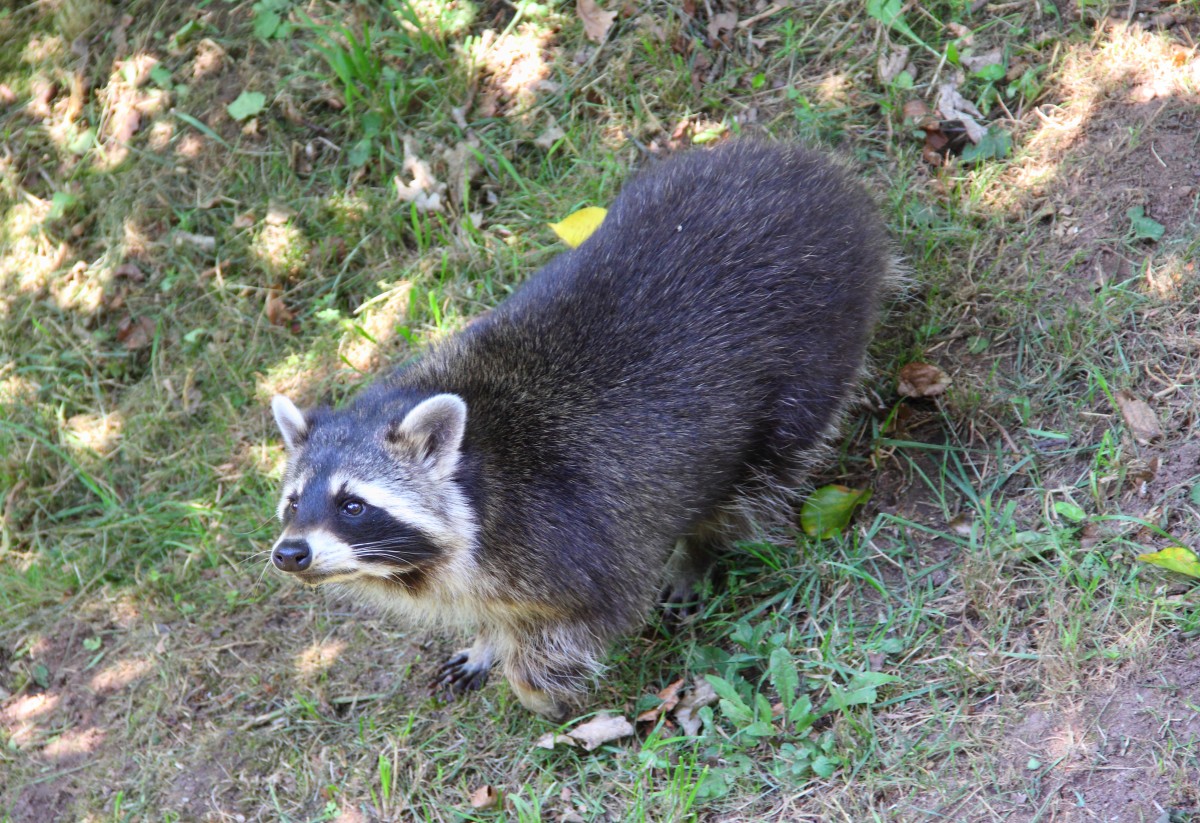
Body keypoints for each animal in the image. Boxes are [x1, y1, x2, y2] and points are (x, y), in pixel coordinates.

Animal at [272, 143, 892, 719]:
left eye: (352, 504)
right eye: (293, 503)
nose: (289, 554)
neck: (479, 471)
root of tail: (814, 173)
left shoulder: (573, 545)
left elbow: (585, 621)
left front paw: (536, 689)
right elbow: (500, 612)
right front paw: (488, 638)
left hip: (816, 350)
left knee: (763, 477)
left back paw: (702, 547)